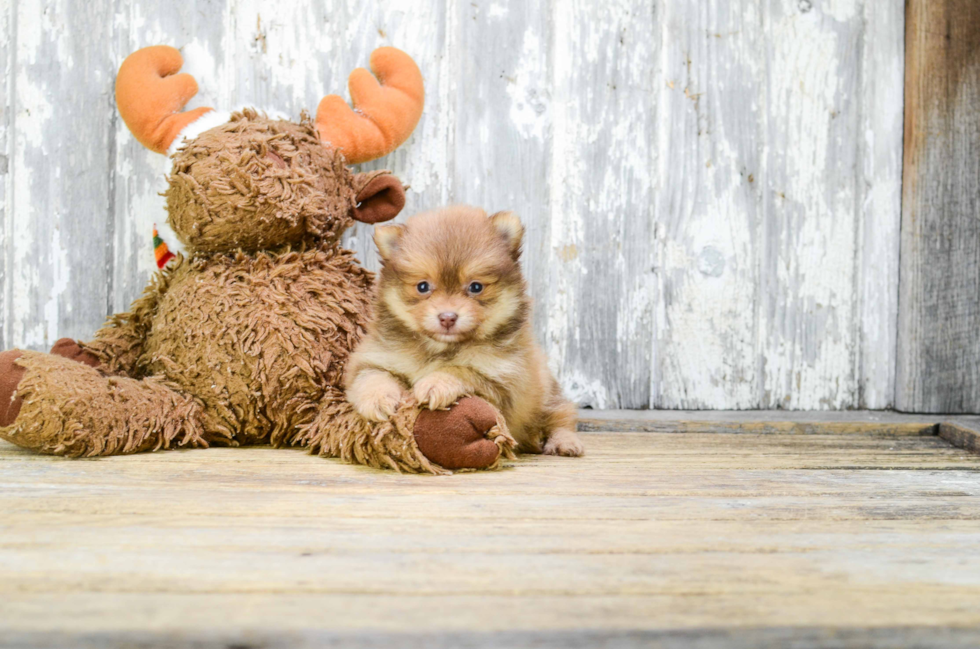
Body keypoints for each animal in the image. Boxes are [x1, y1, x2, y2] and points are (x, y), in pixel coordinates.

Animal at [344, 204, 580, 456]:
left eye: (476, 287)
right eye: (422, 286)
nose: (447, 317)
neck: (439, 349)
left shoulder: (504, 382)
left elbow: (461, 370)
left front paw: (435, 383)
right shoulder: (374, 358)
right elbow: (373, 377)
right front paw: (378, 399)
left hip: (546, 394)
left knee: (562, 415)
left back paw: (564, 442)